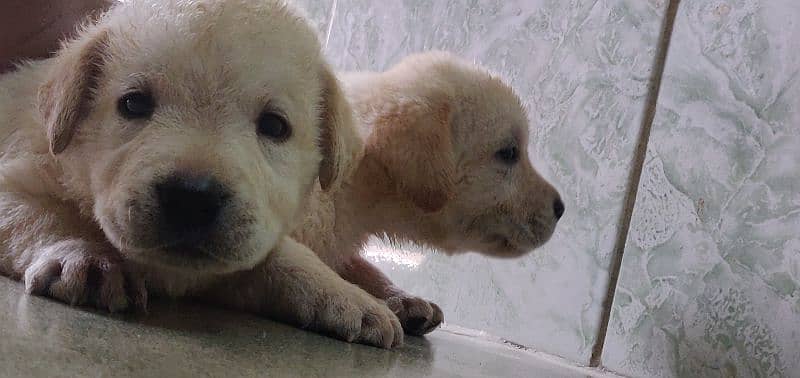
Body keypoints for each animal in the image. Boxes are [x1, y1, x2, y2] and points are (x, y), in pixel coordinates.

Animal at [0, 0, 400, 348]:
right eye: (133, 103)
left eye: (274, 125)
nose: (191, 198)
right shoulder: (18, 173)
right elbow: (41, 216)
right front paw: (86, 256)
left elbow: (285, 257)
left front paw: (348, 298)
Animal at [294, 51, 564, 336]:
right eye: (509, 153)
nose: (561, 208)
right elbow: (297, 257)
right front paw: (354, 302)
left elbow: (363, 266)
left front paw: (403, 298)